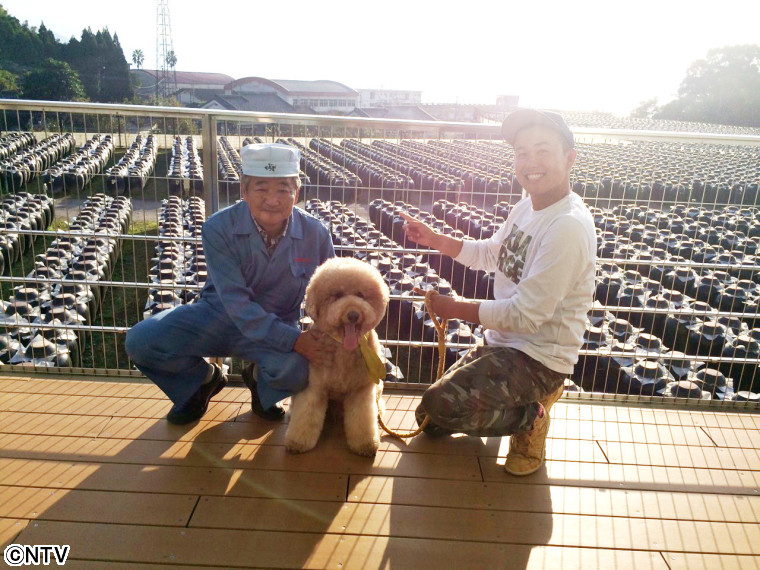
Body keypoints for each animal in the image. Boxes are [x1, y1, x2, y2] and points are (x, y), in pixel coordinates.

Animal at [285, 257, 389, 456]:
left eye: (360, 294)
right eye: (338, 295)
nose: (353, 314)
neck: (343, 348)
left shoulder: (361, 389)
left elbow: (362, 420)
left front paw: (366, 444)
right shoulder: (314, 386)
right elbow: (306, 416)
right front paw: (297, 442)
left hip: (378, 385)